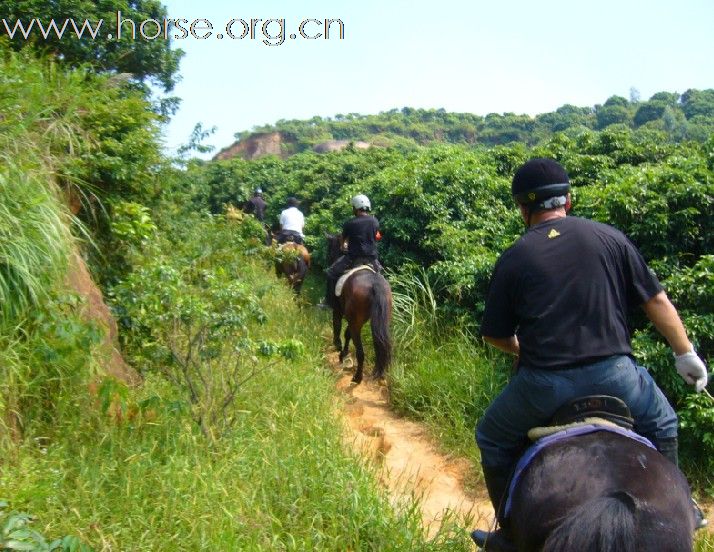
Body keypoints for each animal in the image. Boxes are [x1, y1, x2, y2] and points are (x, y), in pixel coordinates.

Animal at [326, 234, 392, 384]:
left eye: (330, 248)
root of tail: (375, 283)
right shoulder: (354, 319)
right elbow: (347, 334)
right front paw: (343, 354)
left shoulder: (338, 310)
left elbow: (337, 325)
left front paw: (338, 346)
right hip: (366, 320)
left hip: (355, 321)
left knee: (360, 352)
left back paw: (357, 377)